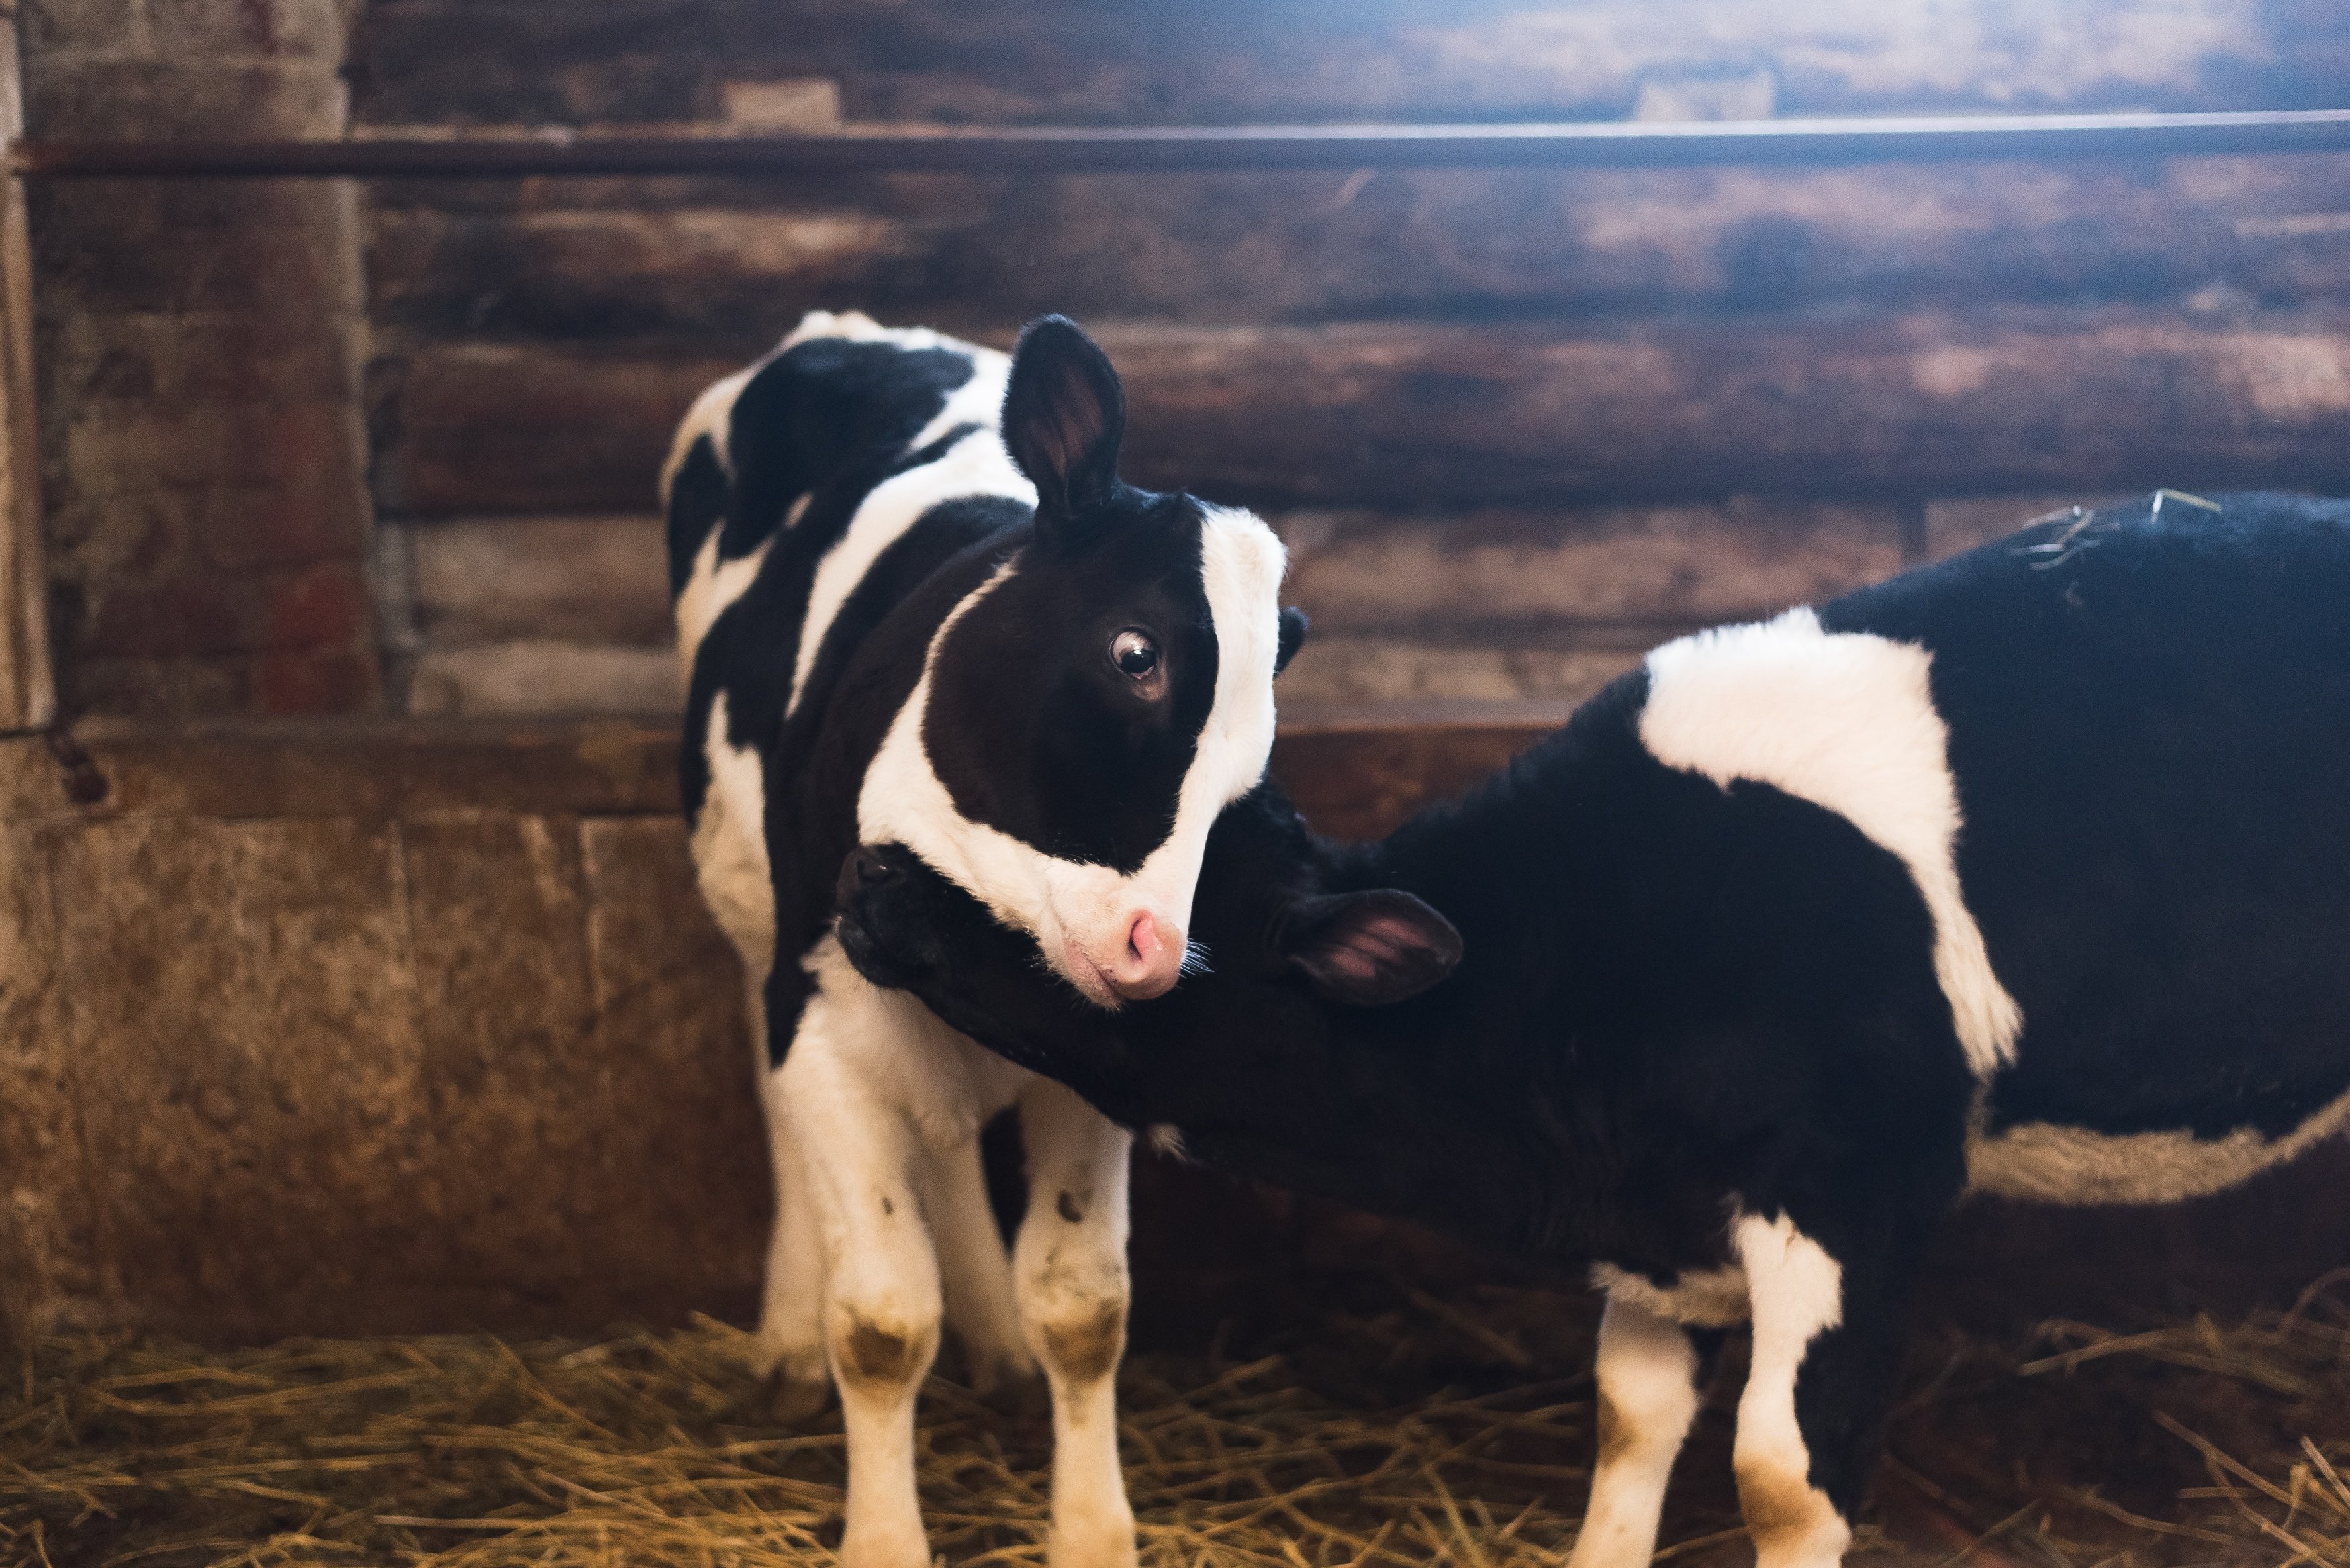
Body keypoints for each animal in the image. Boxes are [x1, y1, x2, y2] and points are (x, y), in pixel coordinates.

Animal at [663, 310, 1288, 1568]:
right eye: (1136, 654)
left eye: (1254, 759)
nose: (1154, 951)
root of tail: (844, 326)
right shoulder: (822, 1014)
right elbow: (882, 1325)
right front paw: (882, 1537)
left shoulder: (1087, 1070)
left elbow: (1085, 1308)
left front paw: (1093, 1533)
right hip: (748, 914)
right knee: (774, 1095)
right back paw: (787, 1337)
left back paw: (996, 1344)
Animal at [837, 495, 2350, 1568]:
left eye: (1157, 925)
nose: (873, 881)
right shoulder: (1660, 1218)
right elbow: (1632, 1424)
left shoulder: (1858, 1177)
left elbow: (1784, 1478)